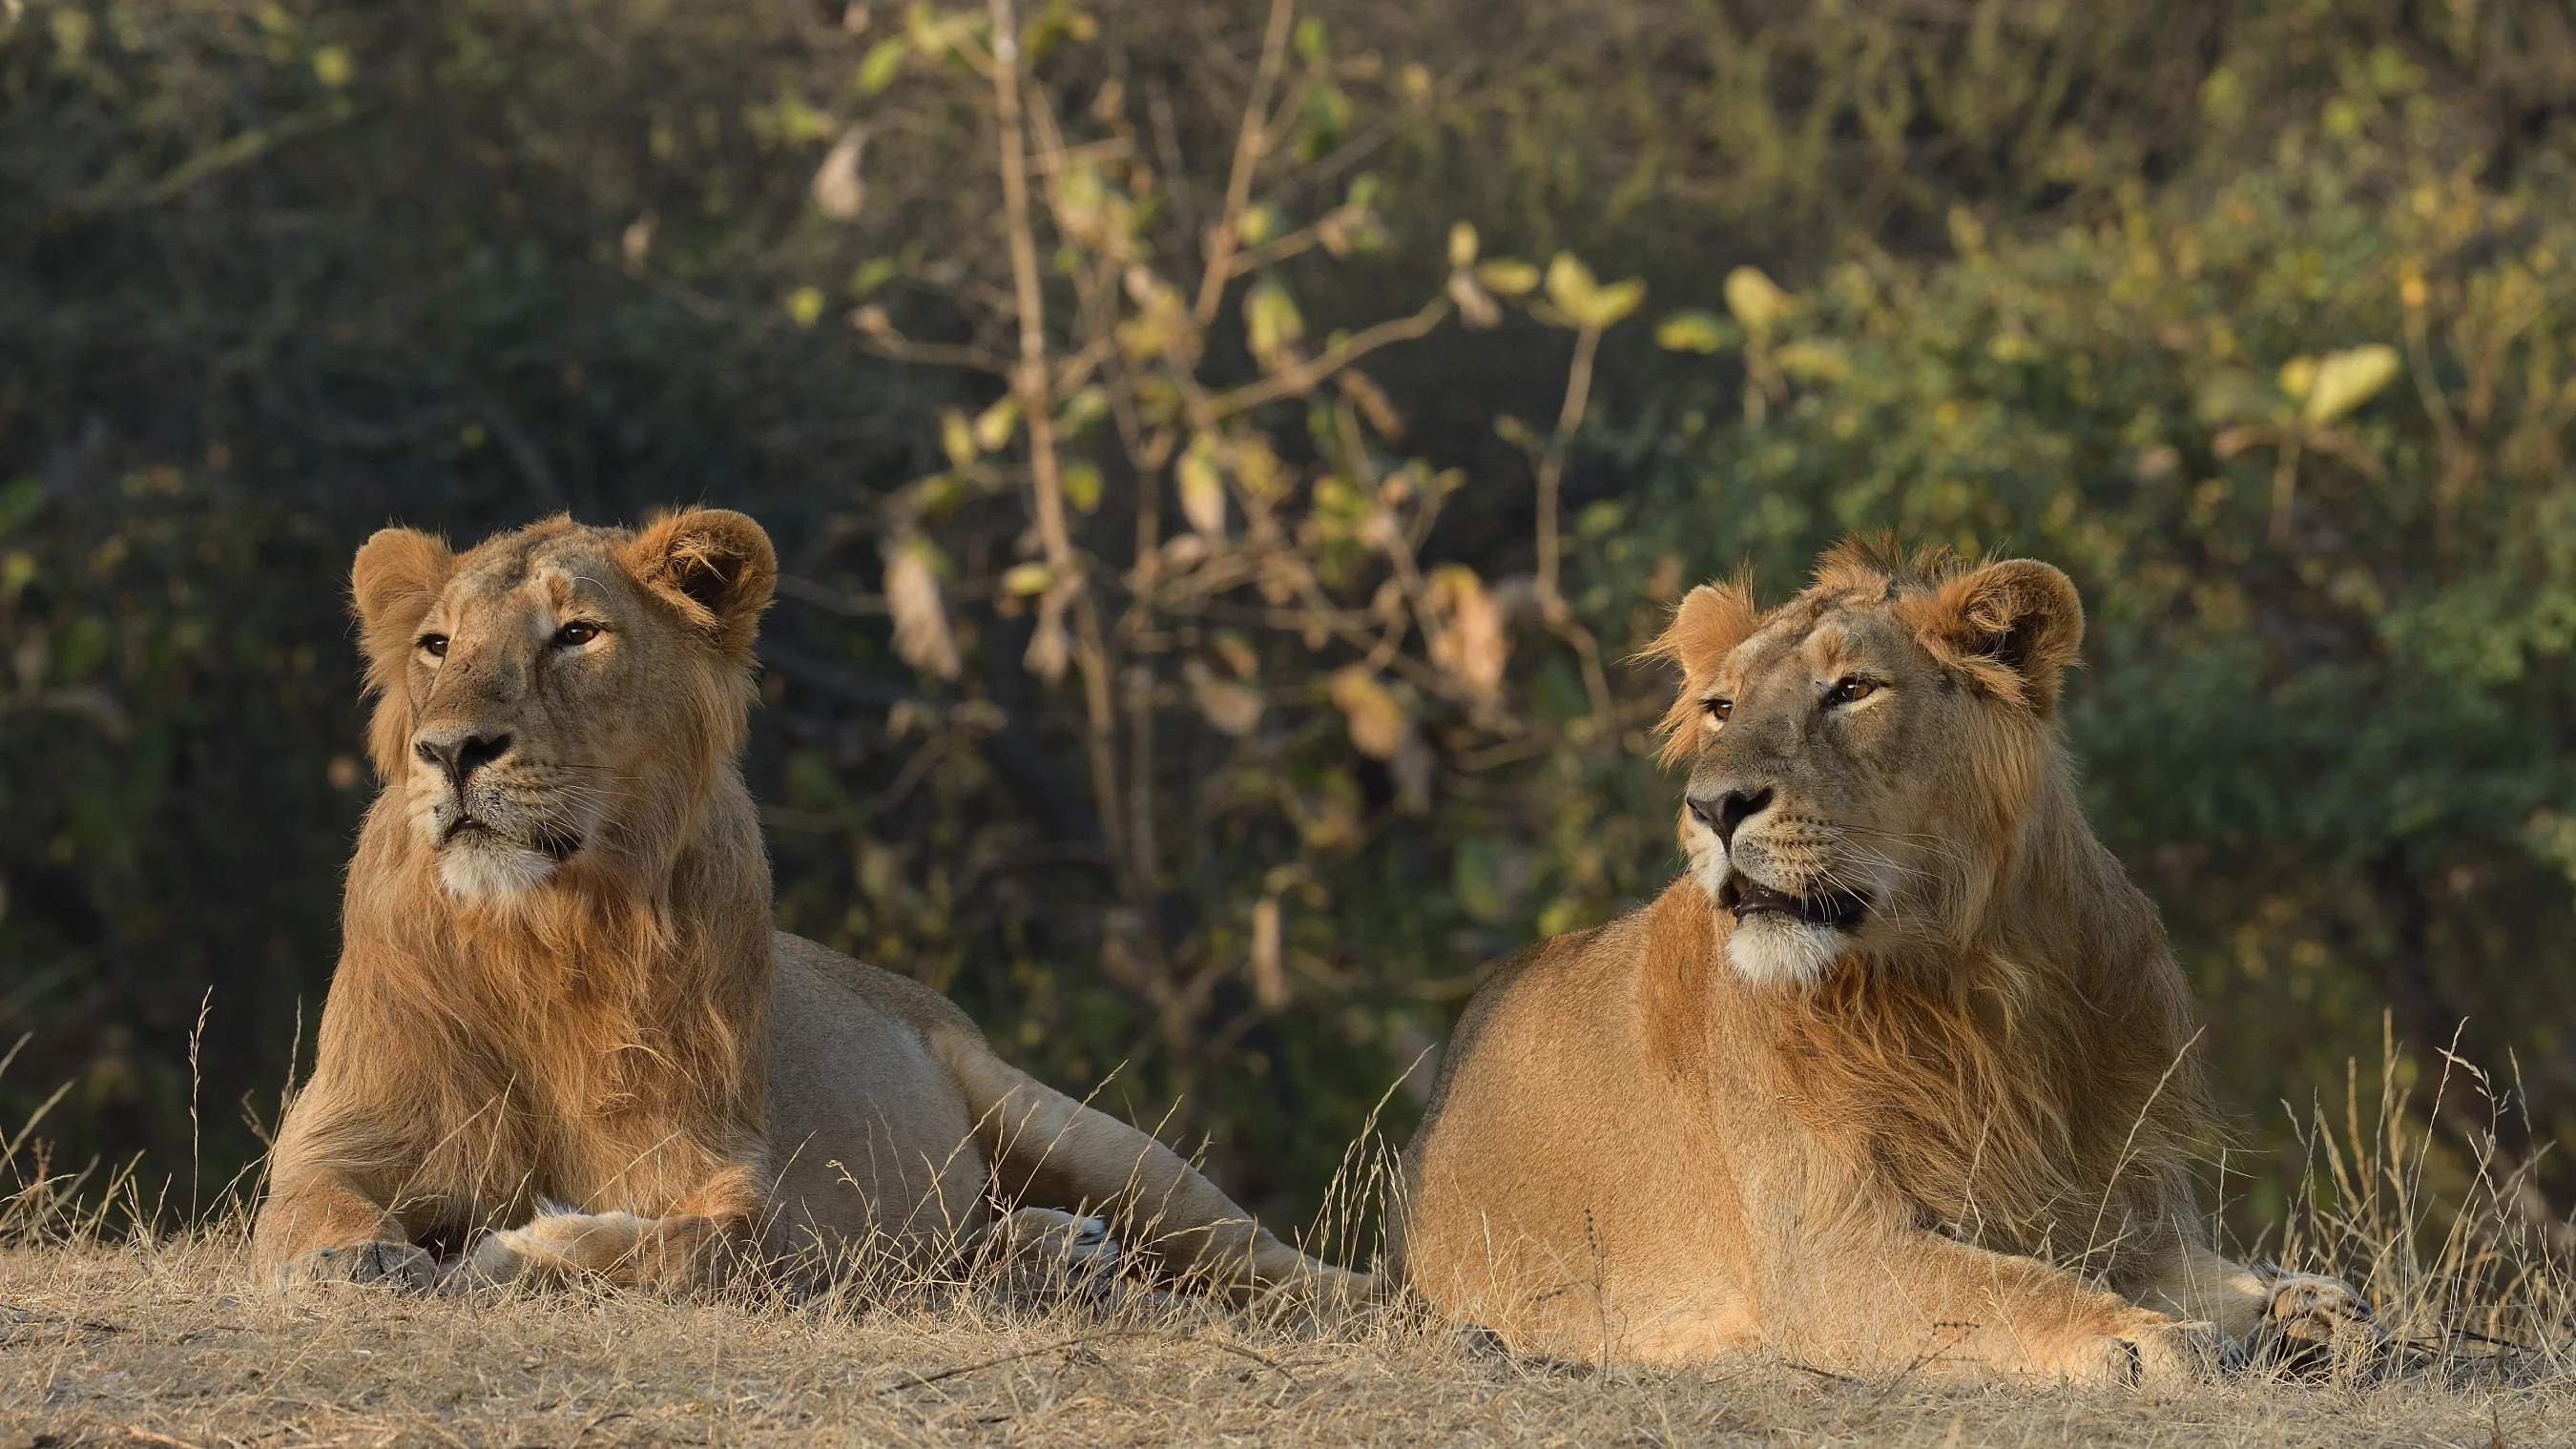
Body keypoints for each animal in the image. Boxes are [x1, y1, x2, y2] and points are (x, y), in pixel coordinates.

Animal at [251, 509, 1366, 1308]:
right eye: (437, 644)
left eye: (576, 634)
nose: (450, 751)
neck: (544, 935)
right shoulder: (343, 1133)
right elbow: (310, 1207)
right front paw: (358, 1262)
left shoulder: (738, 1174)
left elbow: (698, 1247)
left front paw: (517, 1248)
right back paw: (1052, 1254)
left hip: (1072, 1126)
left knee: (1262, 1256)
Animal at [1391, 541, 2374, 1383]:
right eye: (1720, 707)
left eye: (1853, 688)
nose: (1712, 806)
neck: (1971, 977)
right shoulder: (1826, 1256)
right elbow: (2008, 1285)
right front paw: (2143, 1336)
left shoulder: (2124, 1206)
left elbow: (2221, 1271)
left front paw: (2310, 1306)